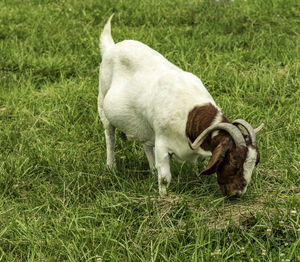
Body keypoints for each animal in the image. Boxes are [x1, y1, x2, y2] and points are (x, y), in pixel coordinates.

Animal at [98, 15, 262, 196]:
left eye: (255, 162)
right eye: (233, 161)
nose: (238, 193)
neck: (190, 116)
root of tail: (111, 48)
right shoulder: (162, 143)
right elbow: (164, 178)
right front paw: (163, 197)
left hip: (143, 125)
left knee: (145, 144)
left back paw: (151, 170)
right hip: (102, 100)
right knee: (110, 135)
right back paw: (111, 166)